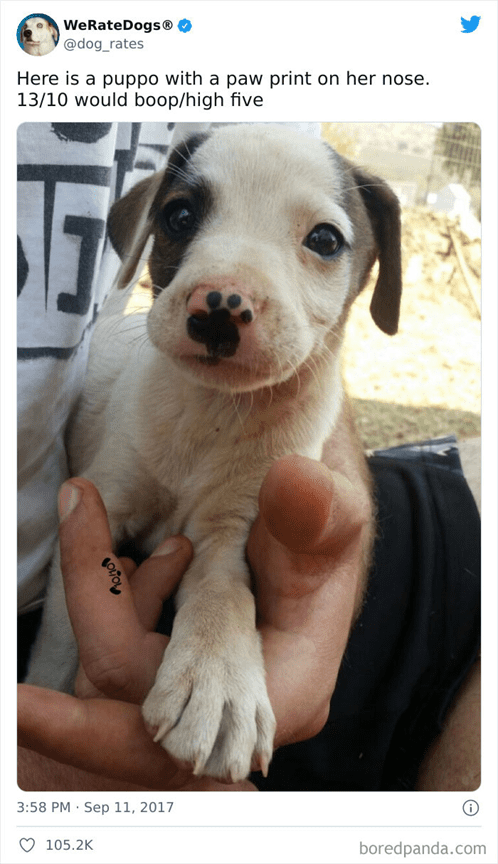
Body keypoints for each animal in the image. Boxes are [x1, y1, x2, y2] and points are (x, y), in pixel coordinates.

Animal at [26, 123, 400, 784]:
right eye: (179, 215)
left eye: (325, 240)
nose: (219, 306)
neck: (213, 415)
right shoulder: (106, 503)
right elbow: (61, 640)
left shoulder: (231, 532)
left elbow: (225, 596)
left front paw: (219, 683)